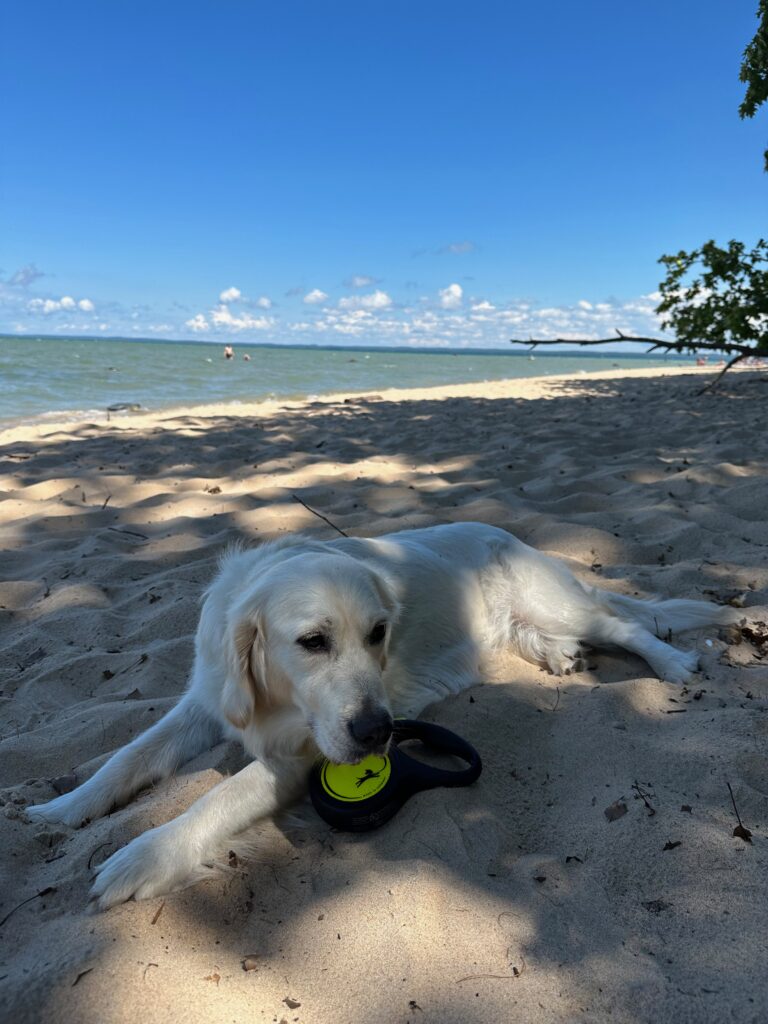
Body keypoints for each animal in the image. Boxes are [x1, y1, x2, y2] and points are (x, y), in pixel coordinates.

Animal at [27, 522, 733, 909]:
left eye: (378, 634)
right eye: (312, 641)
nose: (377, 733)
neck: (277, 696)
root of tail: (510, 535)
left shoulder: (300, 755)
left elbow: (217, 797)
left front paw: (144, 857)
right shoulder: (207, 698)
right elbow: (130, 755)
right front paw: (63, 809)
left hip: (556, 600)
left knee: (626, 626)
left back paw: (672, 664)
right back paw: (561, 656)